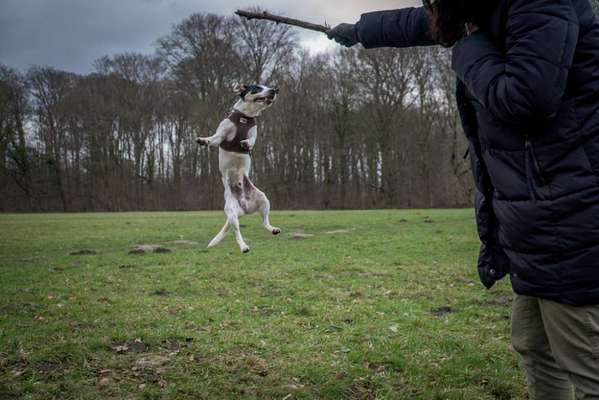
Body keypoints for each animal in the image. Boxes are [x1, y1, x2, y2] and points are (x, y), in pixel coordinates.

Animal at [197, 84, 282, 253]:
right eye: (257, 88)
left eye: (267, 86)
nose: (274, 90)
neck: (245, 116)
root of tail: (244, 207)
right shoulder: (220, 135)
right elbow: (213, 139)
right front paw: (204, 140)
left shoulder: (254, 134)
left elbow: (252, 140)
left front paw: (246, 143)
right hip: (231, 213)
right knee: (237, 232)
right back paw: (243, 246)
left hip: (264, 200)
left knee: (264, 222)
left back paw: (272, 229)